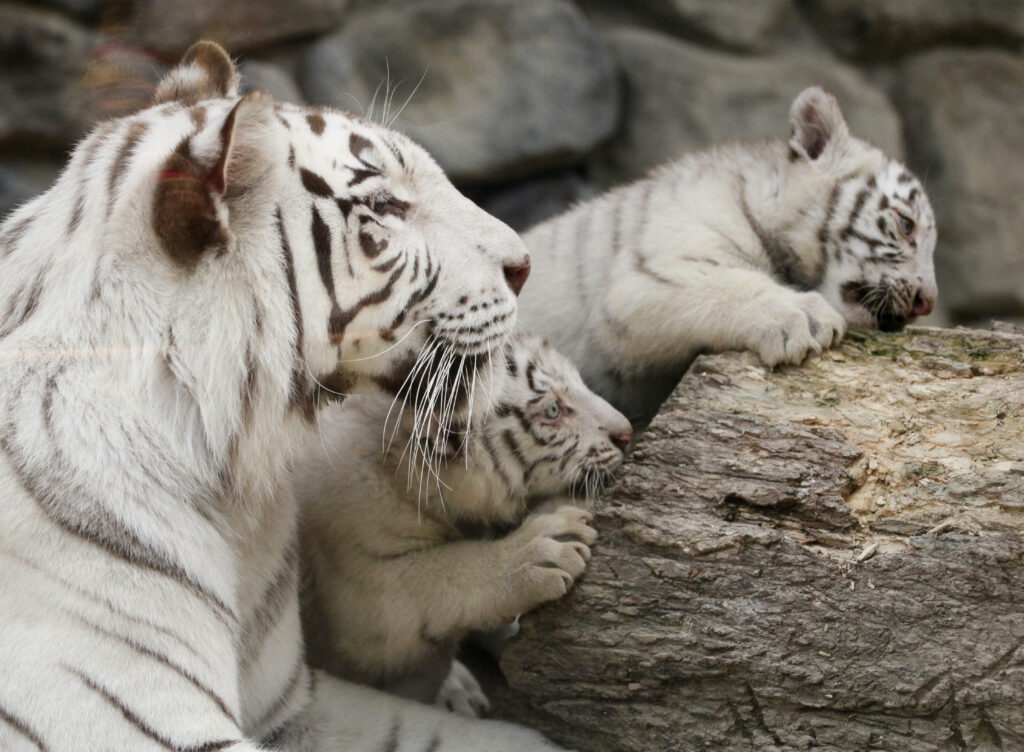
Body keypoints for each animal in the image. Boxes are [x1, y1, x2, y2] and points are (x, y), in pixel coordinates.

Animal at [296, 333, 630, 717]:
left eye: (579, 382)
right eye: (553, 411)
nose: (627, 433)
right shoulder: (358, 587)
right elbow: (440, 570)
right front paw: (543, 549)